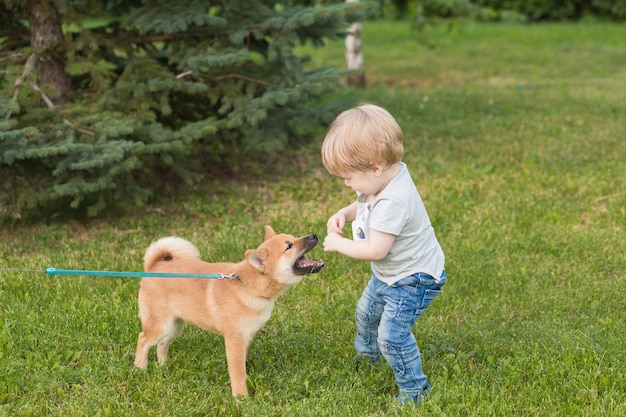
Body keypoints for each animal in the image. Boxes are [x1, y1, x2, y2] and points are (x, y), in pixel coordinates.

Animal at [133, 226, 324, 394]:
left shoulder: (246, 337)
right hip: (160, 325)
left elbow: (241, 366)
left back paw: (163, 366)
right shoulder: (234, 340)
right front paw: (241, 397)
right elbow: (237, 371)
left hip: (175, 325)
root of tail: (153, 267)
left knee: (162, 344)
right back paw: (140, 367)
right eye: (289, 246)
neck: (247, 285)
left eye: (293, 238)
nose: (314, 235)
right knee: (143, 339)